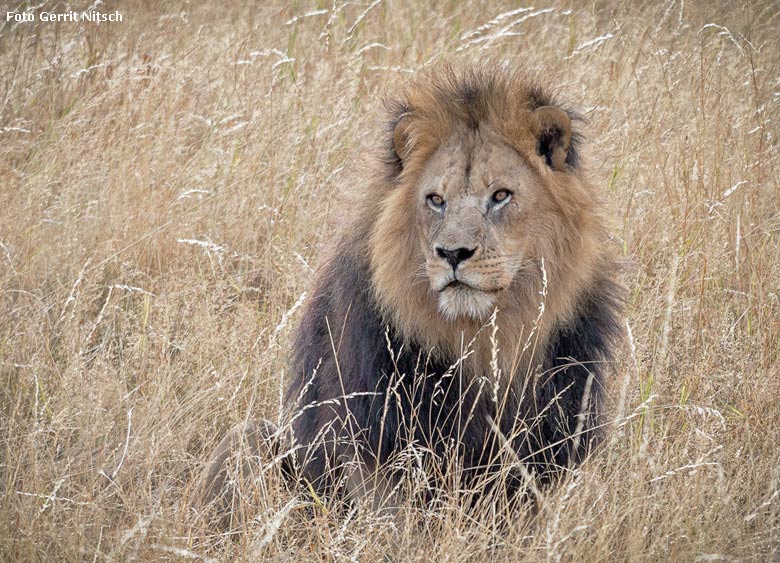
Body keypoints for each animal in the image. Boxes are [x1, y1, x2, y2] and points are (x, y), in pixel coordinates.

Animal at [193, 65, 620, 524]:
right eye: (435, 200)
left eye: (501, 195)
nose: (452, 253)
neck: (483, 337)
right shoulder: (375, 440)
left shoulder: (550, 438)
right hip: (249, 442)